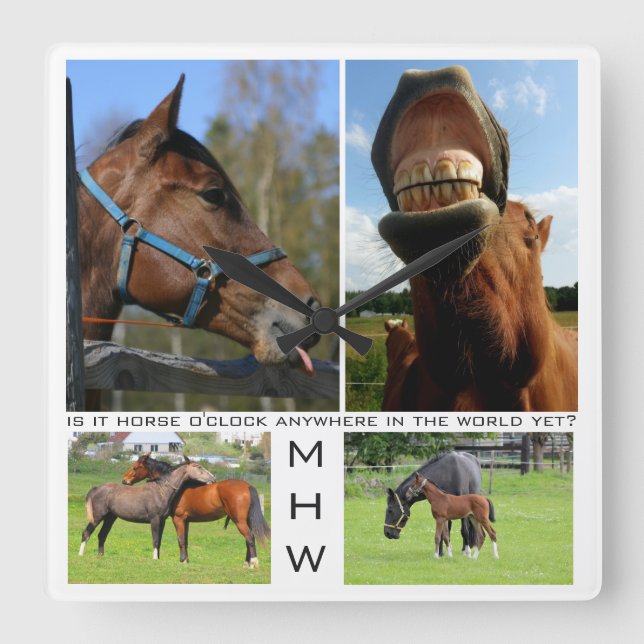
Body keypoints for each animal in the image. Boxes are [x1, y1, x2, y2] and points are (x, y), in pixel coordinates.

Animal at [79, 460, 215, 559]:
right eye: (198, 467)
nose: (213, 478)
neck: (161, 490)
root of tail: (96, 488)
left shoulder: (162, 521)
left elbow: (159, 541)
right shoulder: (154, 520)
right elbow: (155, 540)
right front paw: (154, 559)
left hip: (110, 518)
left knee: (102, 535)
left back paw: (100, 556)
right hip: (97, 517)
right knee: (86, 533)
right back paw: (81, 555)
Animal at [122, 454, 270, 568]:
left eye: (135, 467)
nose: (124, 480)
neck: (179, 487)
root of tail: (247, 486)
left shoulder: (178, 519)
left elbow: (180, 540)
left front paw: (182, 561)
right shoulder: (186, 521)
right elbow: (185, 541)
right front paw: (186, 560)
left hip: (239, 521)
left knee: (249, 537)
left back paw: (253, 563)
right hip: (246, 521)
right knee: (249, 538)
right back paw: (247, 563)